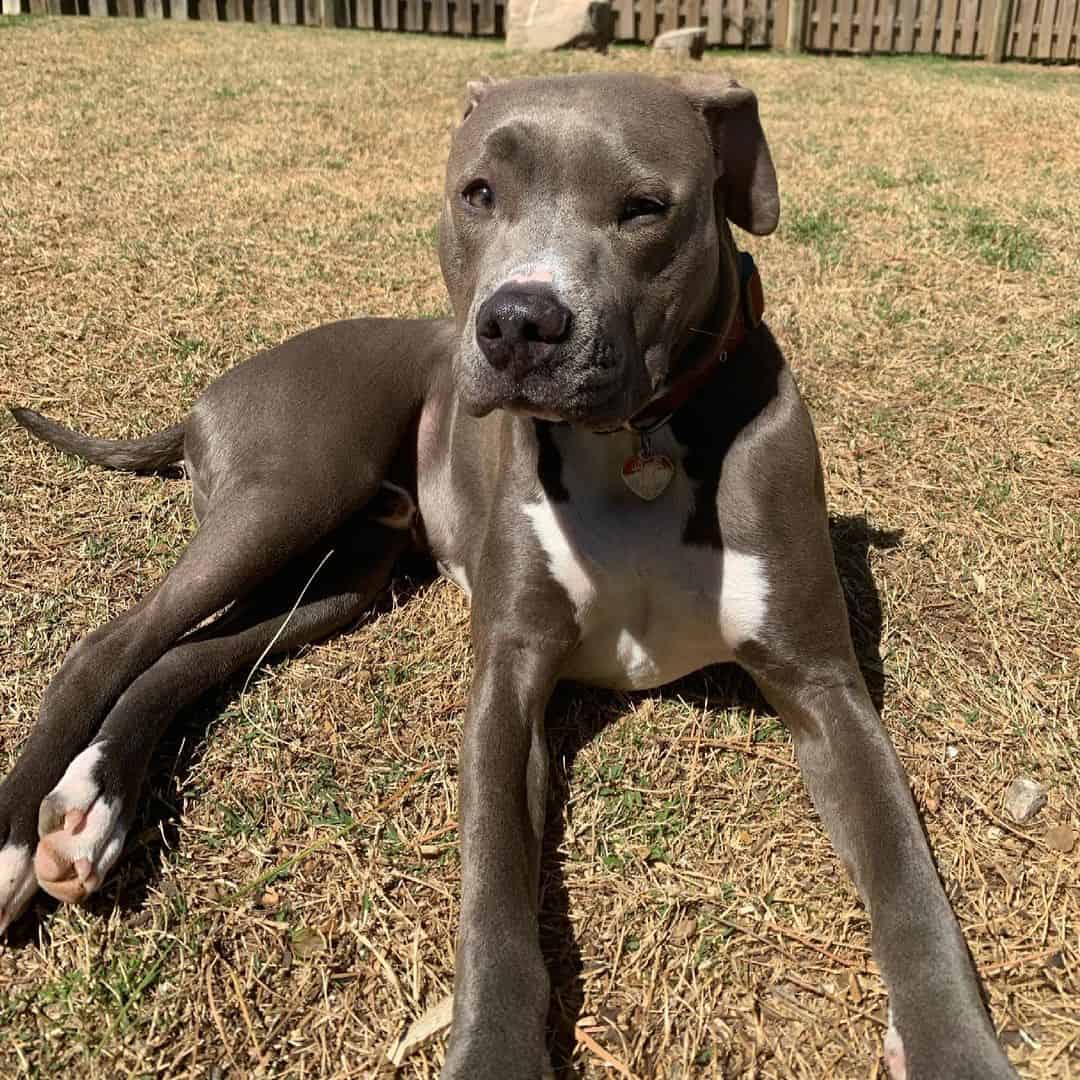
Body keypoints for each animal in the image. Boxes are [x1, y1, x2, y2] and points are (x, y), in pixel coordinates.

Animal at [0, 76, 1010, 1080]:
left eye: (646, 207)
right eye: (478, 192)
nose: (521, 320)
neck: (640, 442)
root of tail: (217, 386)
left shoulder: (824, 685)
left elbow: (908, 880)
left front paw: (955, 1046)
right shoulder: (510, 678)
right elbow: (493, 895)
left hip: (342, 579)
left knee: (190, 655)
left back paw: (90, 810)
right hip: (284, 495)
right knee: (111, 642)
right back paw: (18, 837)